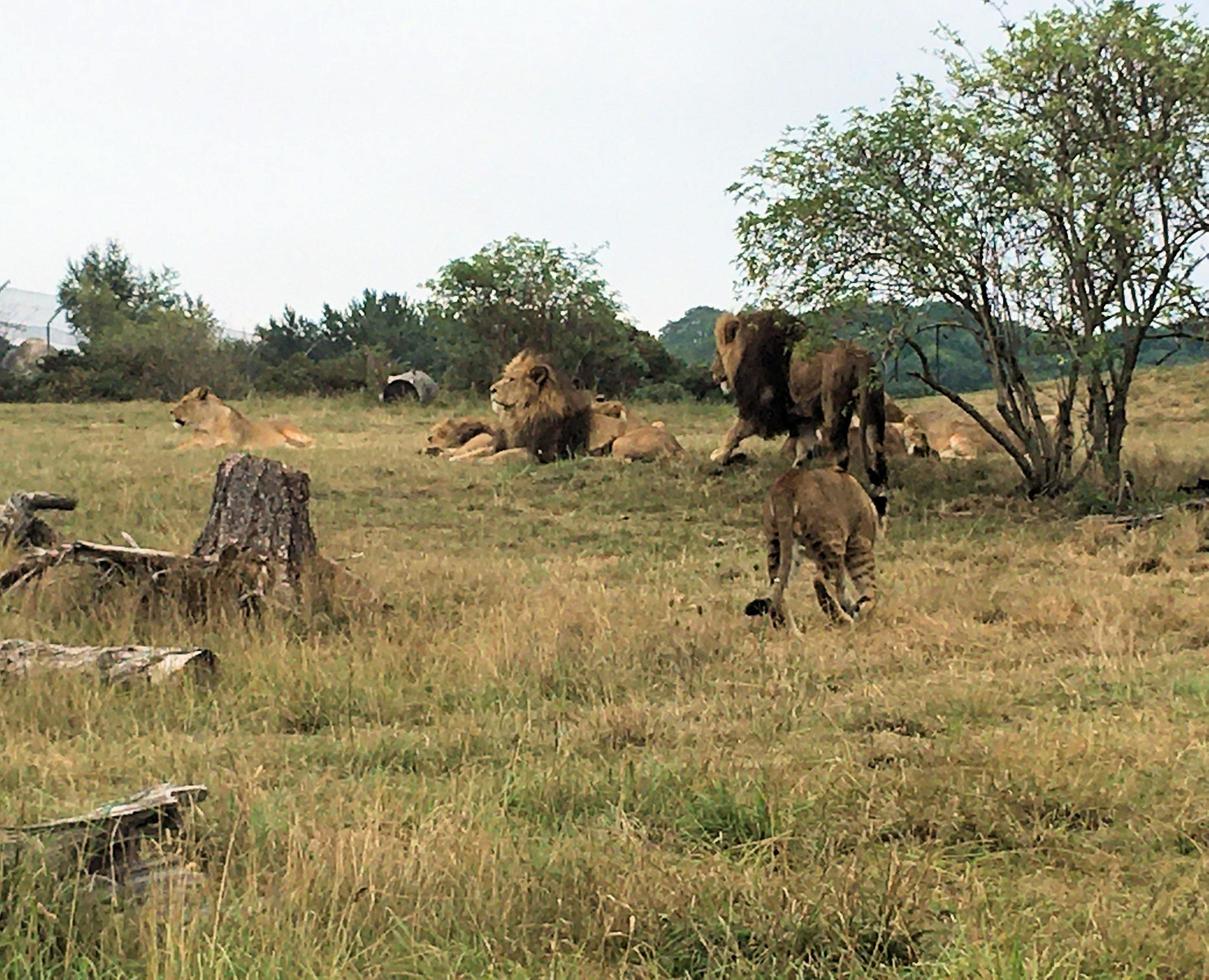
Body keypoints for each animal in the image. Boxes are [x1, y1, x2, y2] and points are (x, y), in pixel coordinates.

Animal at [170, 389, 314, 454]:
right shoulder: (194, 441)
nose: (170, 411)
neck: (206, 423)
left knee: (313, 441)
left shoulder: (233, 445)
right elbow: (179, 447)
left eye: (185, 401)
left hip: (290, 431)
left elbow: (215, 447)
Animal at [739, 466, 884, 628]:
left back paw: (790, 631)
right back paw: (843, 620)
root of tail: (787, 482)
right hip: (831, 541)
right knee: (820, 580)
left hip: (779, 546)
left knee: (778, 588)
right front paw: (863, 610)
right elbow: (869, 587)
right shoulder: (859, 542)